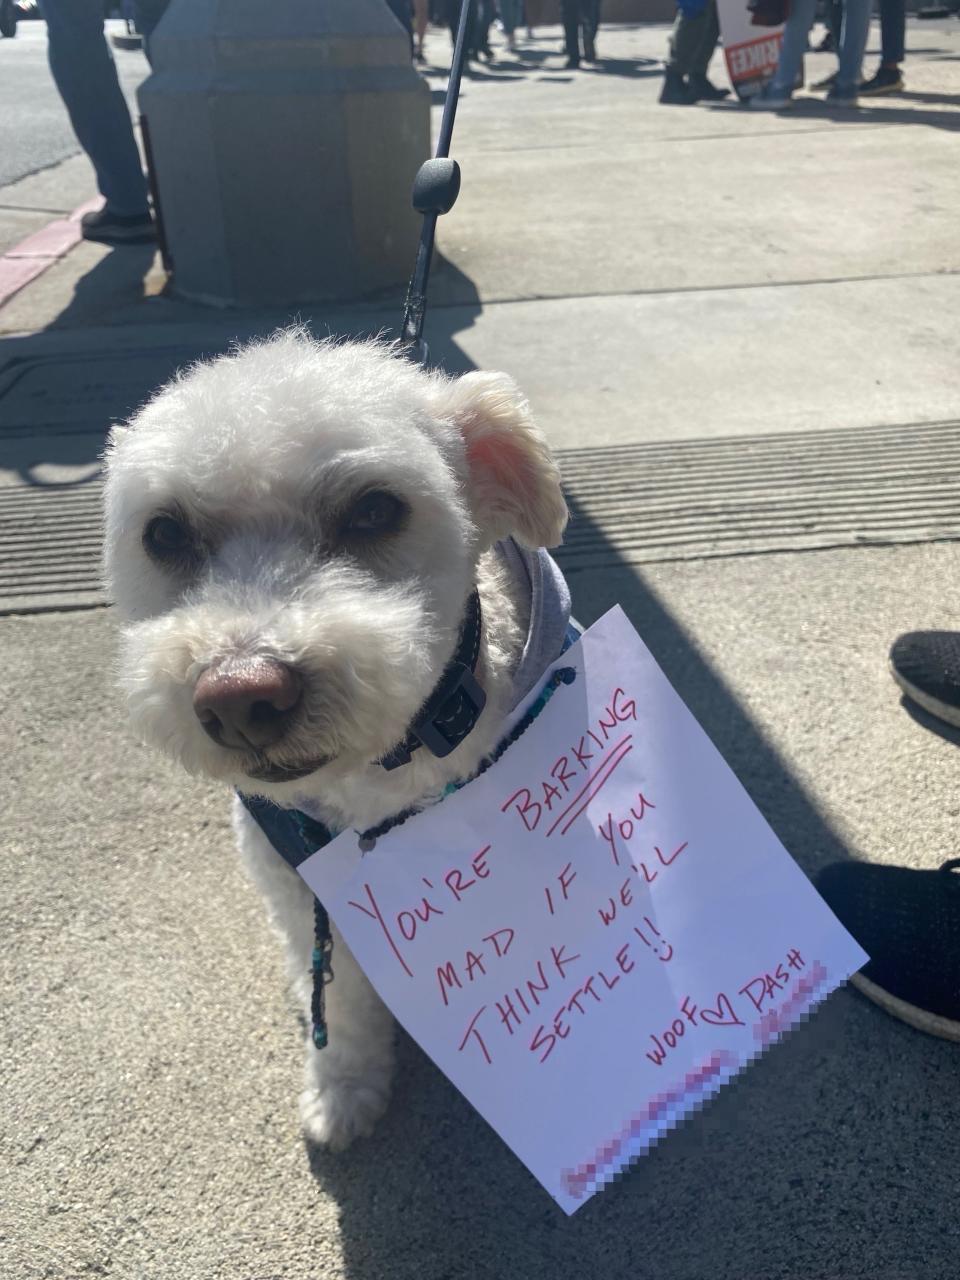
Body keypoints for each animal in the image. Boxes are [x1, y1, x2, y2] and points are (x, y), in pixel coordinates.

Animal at [103, 330, 570, 1152]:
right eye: (164, 532)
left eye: (375, 509)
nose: (241, 697)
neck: (381, 770)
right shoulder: (298, 883)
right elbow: (342, 998)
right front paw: (344, 1088)